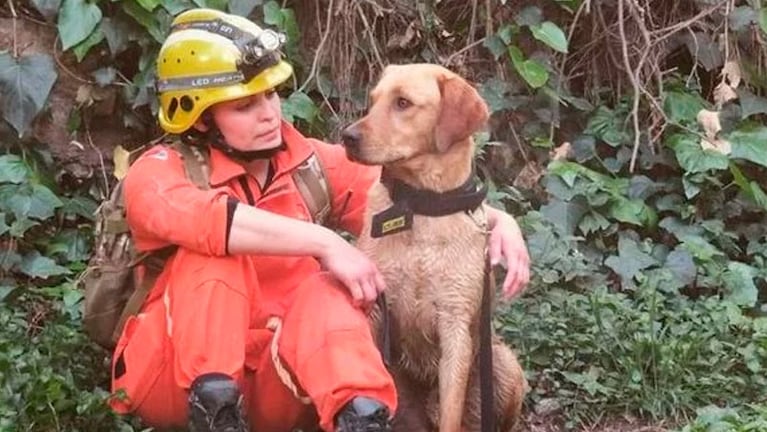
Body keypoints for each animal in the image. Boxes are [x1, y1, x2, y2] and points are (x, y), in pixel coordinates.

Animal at [342, 65, 528, 432]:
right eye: (373, 100)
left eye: (403, 102)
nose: (347, 136)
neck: (420, 206)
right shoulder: (375, 310)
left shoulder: (455, 328)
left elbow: (451, 413)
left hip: (504, 364)